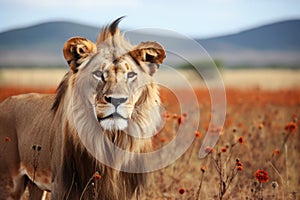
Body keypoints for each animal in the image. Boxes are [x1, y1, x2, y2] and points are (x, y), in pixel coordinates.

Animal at [0, 17, 165, 200]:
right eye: (99, 74)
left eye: (131, 75)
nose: (117, 100)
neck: (111, 141)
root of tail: (5, 102)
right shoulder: (62, 187)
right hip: (9, 182)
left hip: (36, 184)